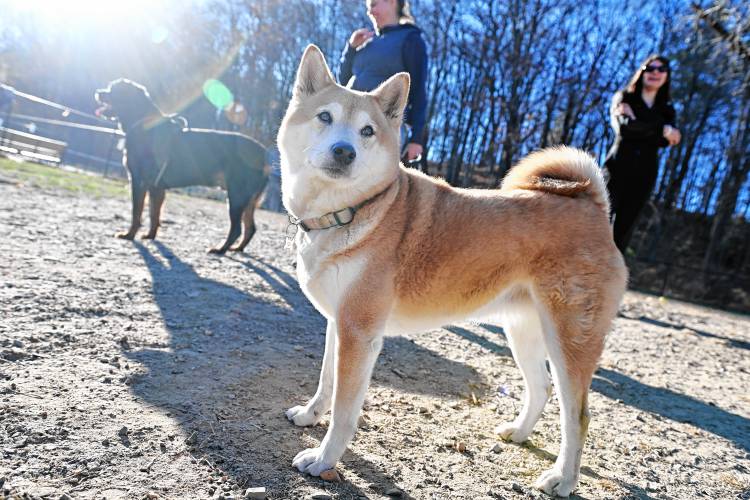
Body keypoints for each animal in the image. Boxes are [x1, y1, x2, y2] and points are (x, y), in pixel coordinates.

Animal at [95, 79, 268, 254]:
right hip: (248, 199)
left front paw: (129, 235)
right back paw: (237, 248)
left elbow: (136, 212)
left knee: (237, 229)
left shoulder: (139, 181)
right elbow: (154, 214)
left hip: (237, 195)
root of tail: (264, 155)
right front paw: (150, 236)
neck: (144, 126)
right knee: (250, 227)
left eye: (114, 90)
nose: (98, 92)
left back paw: (220, 249)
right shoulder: (157, 188)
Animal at [276, 46, 628, 496]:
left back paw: (562, 479)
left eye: (367, 131)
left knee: (577, 416)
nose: (344, 151)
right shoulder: (340, 324)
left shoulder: (359, 333)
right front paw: (309, 415)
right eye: (324, 116)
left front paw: (324, 459)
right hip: (523, 329)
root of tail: (592, 205)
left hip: (569, 340)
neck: (352, 211)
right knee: (541, 388)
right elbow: (325, 384)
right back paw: (518, 433)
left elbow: (344, 410)